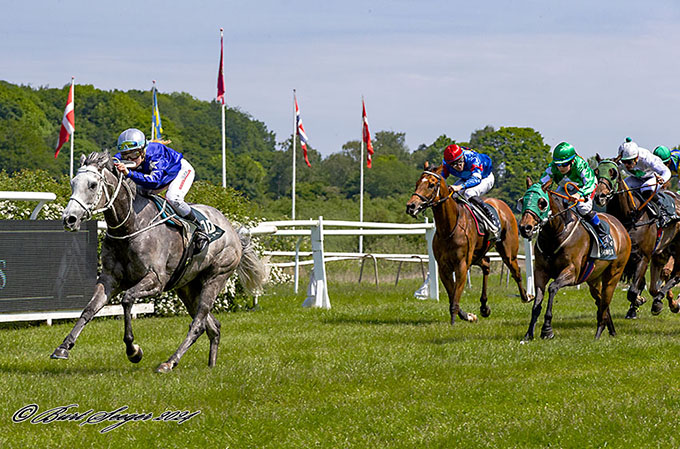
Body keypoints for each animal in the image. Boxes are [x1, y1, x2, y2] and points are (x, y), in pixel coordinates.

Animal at [50, 150, 266, 372]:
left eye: (92, 184)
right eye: (73, 183)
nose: (69, 219)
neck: (131, 226)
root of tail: (233, 232)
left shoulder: (156, 281)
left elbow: (127, 299)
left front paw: (133, 351)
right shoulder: (110, 279)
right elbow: (90, 308)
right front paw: (63, 347)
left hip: (216, 277)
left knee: (198, 323)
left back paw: (169, 362)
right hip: (187, 287)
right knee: (212, 326)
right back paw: (210, 365)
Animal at [406, 163, 528, 324]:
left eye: (431, 185)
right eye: (417, 183)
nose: (411, 206)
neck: (449, 228)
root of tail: (502, 204)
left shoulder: (462, 265)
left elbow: (456, 295)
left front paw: (454, 322)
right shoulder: (444, 267)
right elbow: (452, 295)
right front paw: (468, 315)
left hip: (508, 251)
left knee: (516, 271)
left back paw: (526, 296)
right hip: (477, 254)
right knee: (487, 264)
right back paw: (484, 307)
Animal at [520, 177, 632, 338]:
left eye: (542, 202)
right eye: (523, 200)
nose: (525, 228)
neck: (556, 233)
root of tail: (621, 227)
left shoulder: (572, 272)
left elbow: (552, 288)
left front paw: (547, 329)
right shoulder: (540, 272)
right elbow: (537, 301)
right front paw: (529, 334)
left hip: (614, 274)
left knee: (605, 302)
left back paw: (598, 334)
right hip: (593, 279)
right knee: (601, 303)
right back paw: (611, 331)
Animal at [592, 156, 676, 316]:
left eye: (613, 173)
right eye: (596, 171)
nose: (600, 196)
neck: (630, 216)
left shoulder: (644, 257)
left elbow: (633, 290)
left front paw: (639, 300)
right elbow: (638, 286)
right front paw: (637, 303)